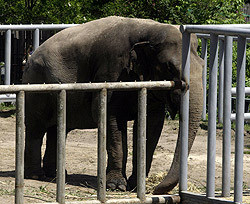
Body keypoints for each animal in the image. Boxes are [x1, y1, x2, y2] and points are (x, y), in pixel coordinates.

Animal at [22, 16, 204, 193]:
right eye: (170, 67)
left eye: (203, 66)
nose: (156, 190)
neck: (148, 30)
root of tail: (30, 57)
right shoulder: (112, 71)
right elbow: (109, 117)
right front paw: (117, 187)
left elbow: (151, 125)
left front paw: (136, 186)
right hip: (36, 87)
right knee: (36, 129)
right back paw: (36, 175)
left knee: (57, 129)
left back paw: (54, 174)